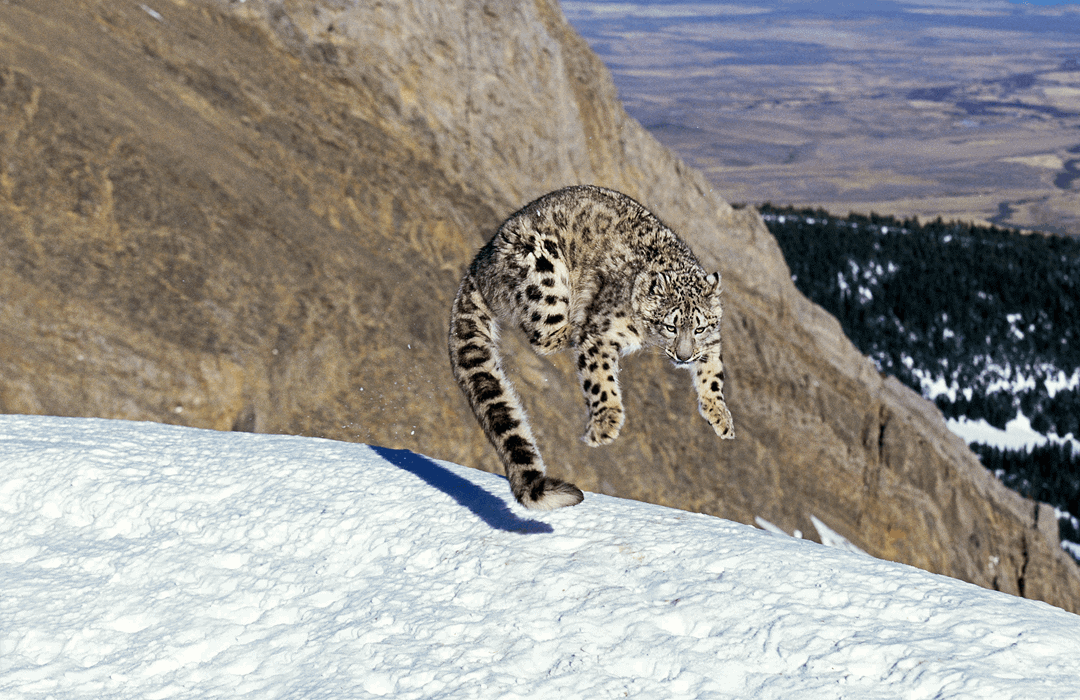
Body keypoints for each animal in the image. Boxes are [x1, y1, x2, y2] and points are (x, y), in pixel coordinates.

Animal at [447, 186, 734, 507]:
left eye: (699, 327)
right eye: (670, 326)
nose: (684, 357)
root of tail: (481, 259)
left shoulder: (711, 342)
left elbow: (713, 374)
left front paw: (720, 417)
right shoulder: (602, 335)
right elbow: (601, 379)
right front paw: (604, 426)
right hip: (543, 273)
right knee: (545, 336)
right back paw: (575, 324)